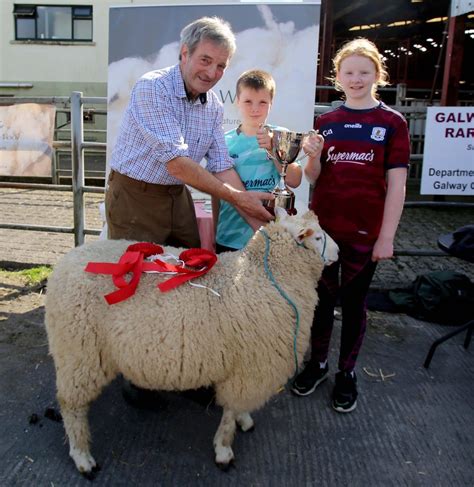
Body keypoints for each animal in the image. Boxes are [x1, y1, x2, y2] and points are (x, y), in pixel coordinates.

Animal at [45, 210, 336, 476]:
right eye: (318, 237)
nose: (339, 251)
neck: (265, 275)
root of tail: (61, 267)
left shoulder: (244, 371)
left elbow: (238, 408)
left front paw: (243, 420)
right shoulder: (248, 368)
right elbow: (230, 412)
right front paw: (224, 449)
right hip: (79, 351)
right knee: (70, 404)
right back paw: (82, 456)